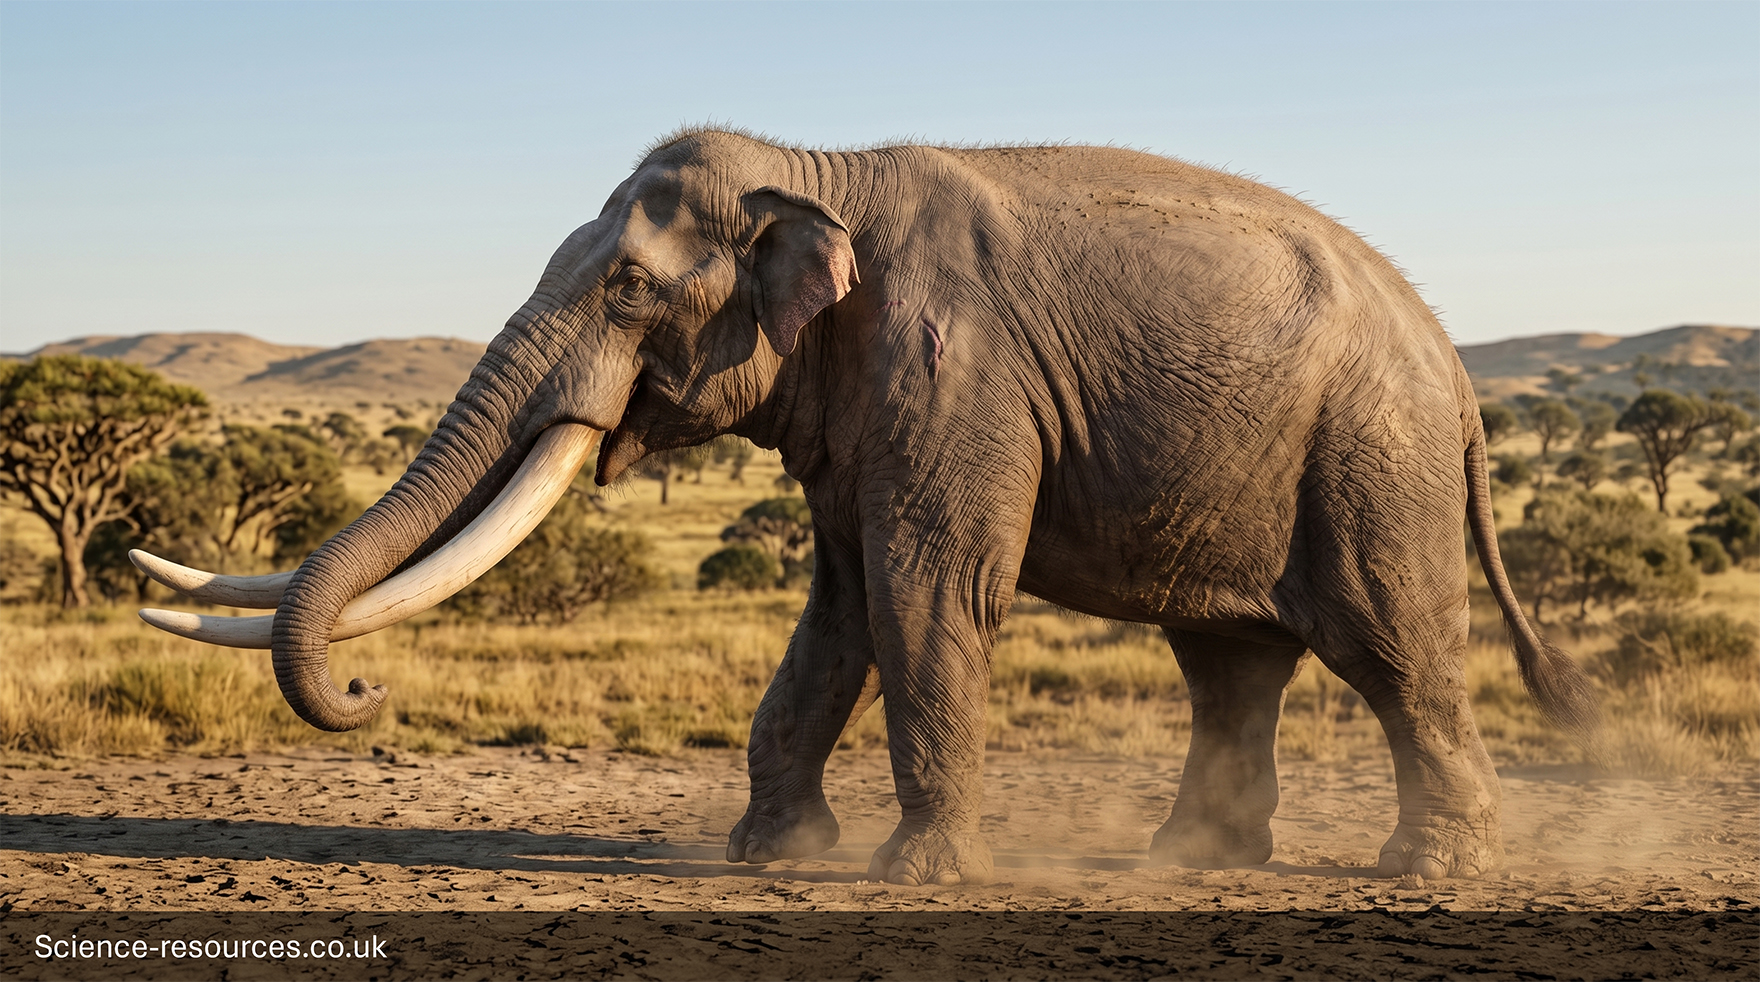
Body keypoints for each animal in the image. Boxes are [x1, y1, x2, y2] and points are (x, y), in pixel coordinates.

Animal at [134, 127, 1599, 886]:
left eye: (625, 288)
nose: (368, 694)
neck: (814, 169)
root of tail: (1456, 370)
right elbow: (837, 607)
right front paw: (765, 858)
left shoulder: (951, 369)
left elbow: (922, 588)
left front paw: (910, 880)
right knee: (1228, 659)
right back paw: (1186, 863)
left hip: (1371, 455)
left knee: (1390, 645)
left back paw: (1426, 874)